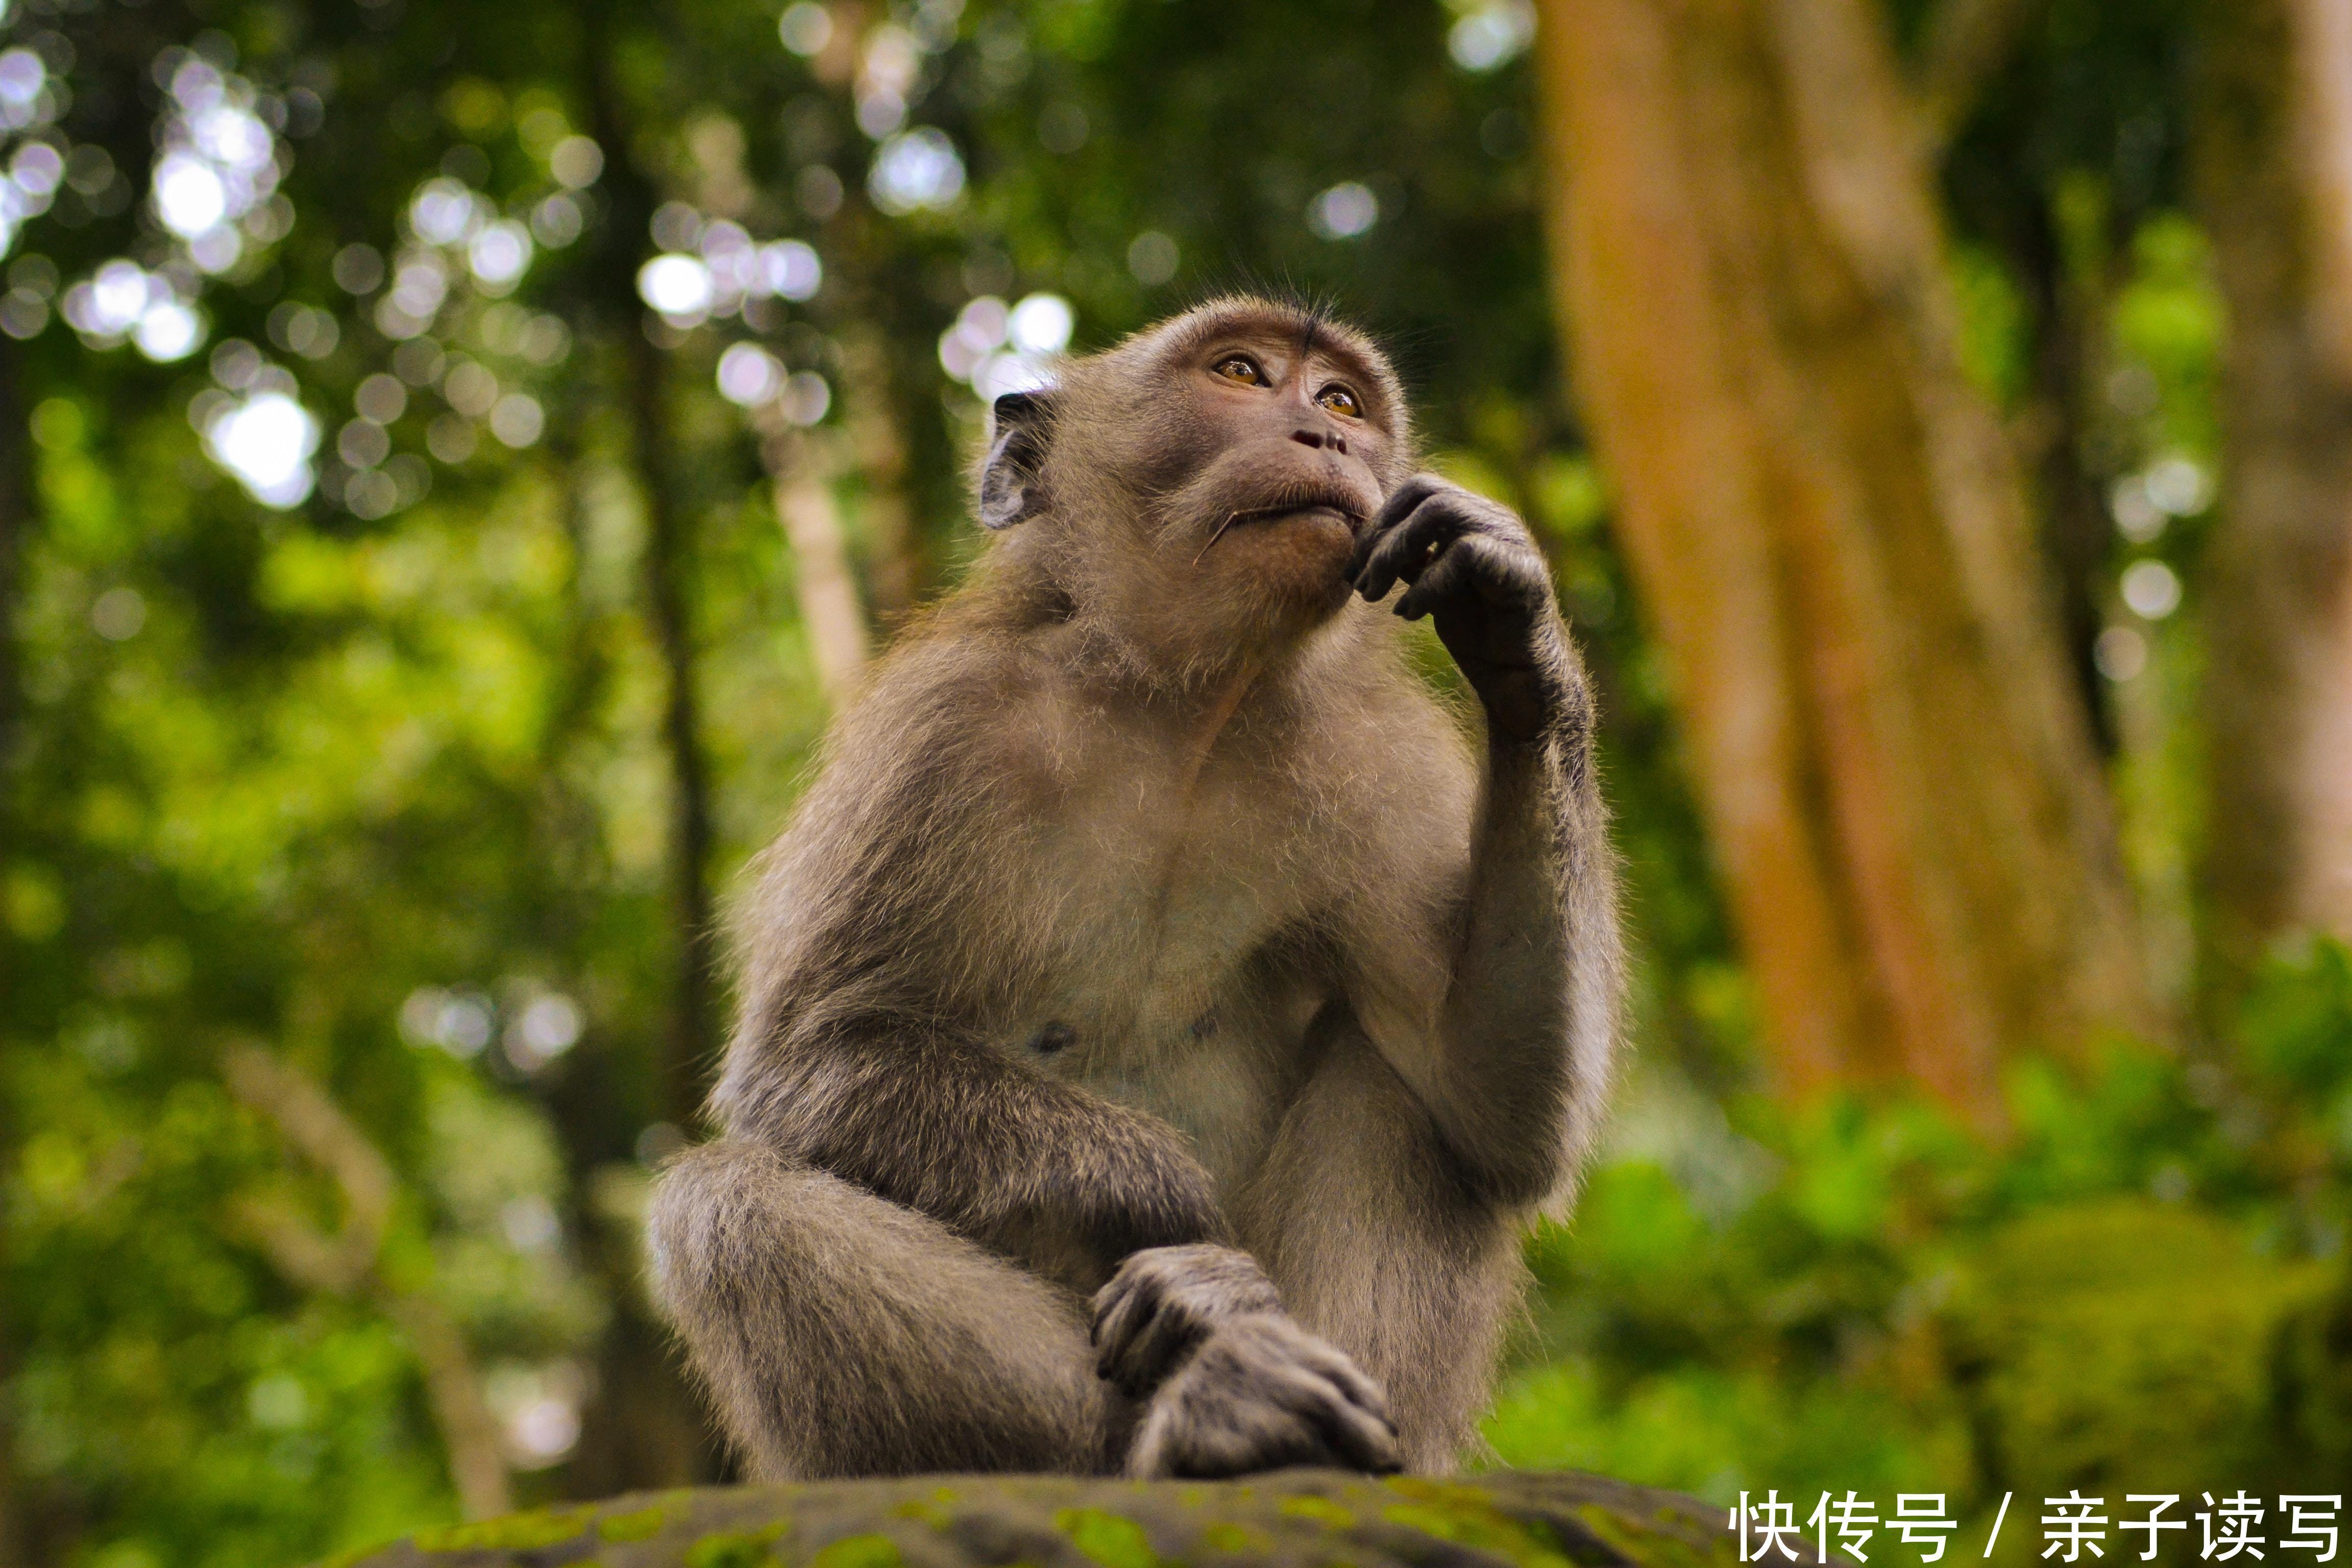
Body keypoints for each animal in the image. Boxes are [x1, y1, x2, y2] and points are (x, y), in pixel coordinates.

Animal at [654, 293, 1627, 1485]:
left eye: (1343, 400)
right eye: (1243, 374)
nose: (1327, 435)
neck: (1183, 710)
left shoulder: (1379, 764)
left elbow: (1494, 1104)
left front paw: (1513, 617)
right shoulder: (937, 734)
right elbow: (804, 1062)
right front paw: (1183, 1219)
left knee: (1403, 1084)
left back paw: (1331, 1433)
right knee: (724, 1204)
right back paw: (1209, 1409)